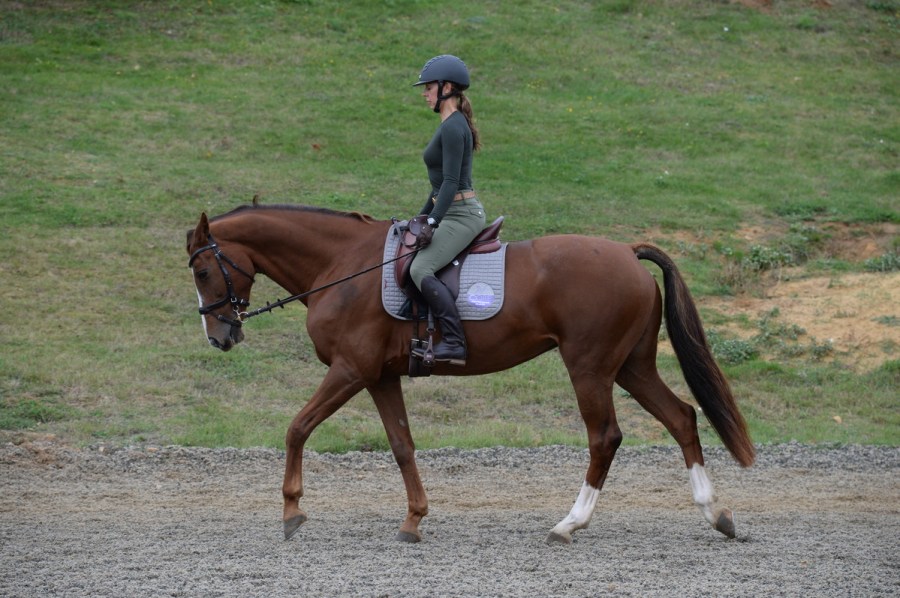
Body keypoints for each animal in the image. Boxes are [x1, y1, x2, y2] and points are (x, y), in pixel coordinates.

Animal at [185, 203, 755, 544]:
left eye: (203, 270)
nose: (219, 336)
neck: (344, 266)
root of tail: (626, 252)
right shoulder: (379, 377)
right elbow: (402, 445)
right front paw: (414, 519)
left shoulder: (350, 370)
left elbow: (297, 427)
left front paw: (291, 512)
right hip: (631, 366)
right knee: (681, 418)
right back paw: (716, 513)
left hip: (590, 367)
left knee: (605, 437)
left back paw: (570, 523)